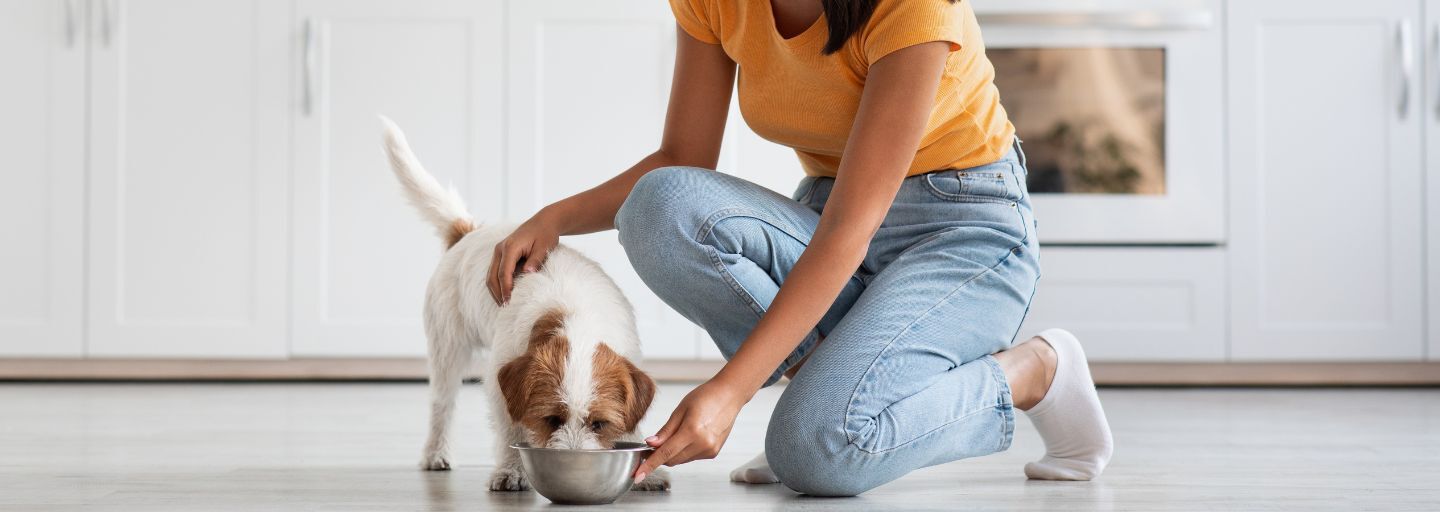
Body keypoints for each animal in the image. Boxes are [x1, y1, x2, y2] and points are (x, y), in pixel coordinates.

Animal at [377, 117, 668, 491]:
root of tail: (468, 232)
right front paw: (512, 470)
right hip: (447, 348)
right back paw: (436, 453)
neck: (577, 317)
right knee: (442, 404)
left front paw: (648, 471)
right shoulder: (500, 382)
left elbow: (633, 421)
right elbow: (510, 430)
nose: (575, 462)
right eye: (551, 419)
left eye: (599, 423)